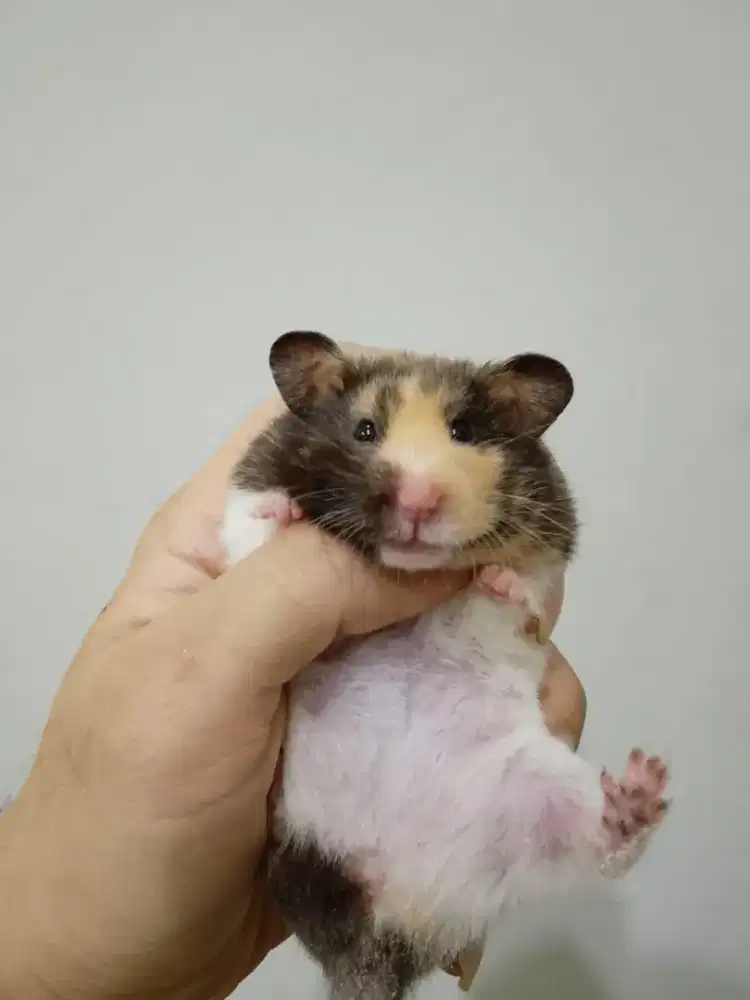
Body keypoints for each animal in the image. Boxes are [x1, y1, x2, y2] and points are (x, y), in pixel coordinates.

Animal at [221, 332, 670, 1000]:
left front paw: (499, 582)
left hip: (538, 793)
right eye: (364, 430)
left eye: (463, 431)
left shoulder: (553, 536)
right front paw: (284, 513)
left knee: (606, 845)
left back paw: (641, 788)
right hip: (303, 857)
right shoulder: (248, 480)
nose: (416, 500)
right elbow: (249, 527)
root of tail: (404, 928)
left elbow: (526, 588)